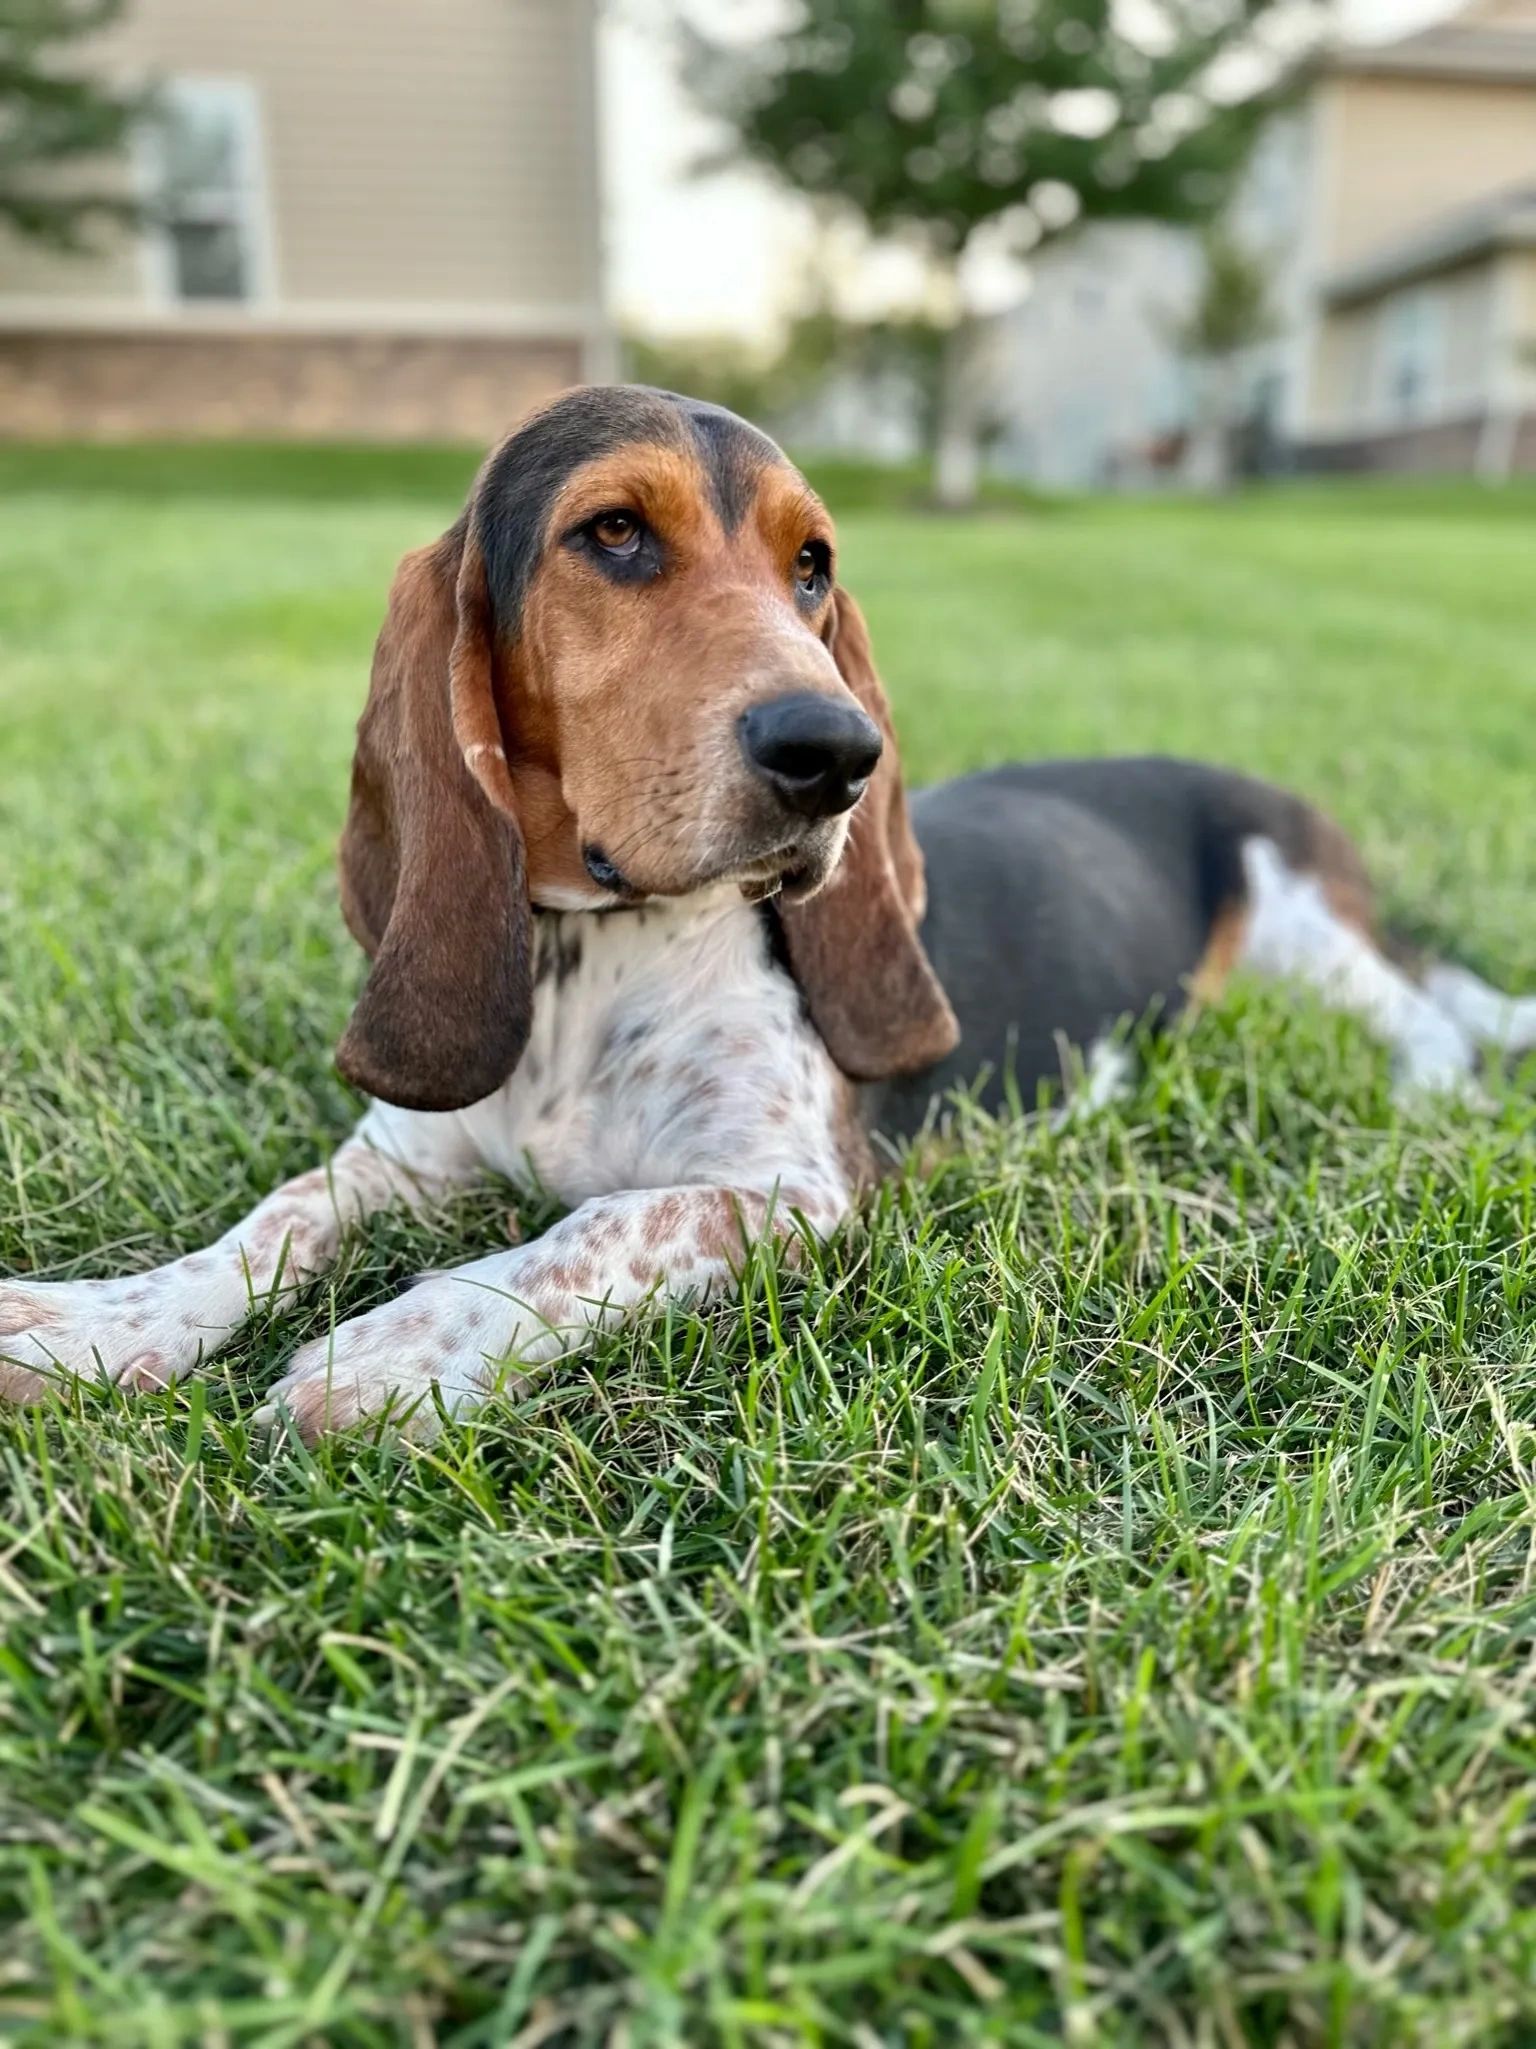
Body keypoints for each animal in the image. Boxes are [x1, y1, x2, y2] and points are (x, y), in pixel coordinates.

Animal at [3, 387, 1536, 1442]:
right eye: (614, 533)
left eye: (814, 566)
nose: (837, 752)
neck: (602, 951)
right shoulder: (400, 1154)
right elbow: (267, 1224)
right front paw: (90, 1326)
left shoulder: (784, 1187)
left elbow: (587, 1231)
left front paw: (390, 1353)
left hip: (1296, 925)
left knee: (1429, 1018)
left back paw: (1420, 1090)